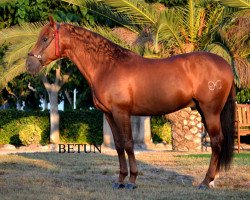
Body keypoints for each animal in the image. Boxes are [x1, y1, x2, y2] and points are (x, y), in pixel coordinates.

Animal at [26, 16, 235, 189]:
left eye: (45, 39)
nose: (29, 64)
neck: (108, 67)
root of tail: (225, 65)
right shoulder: (109, 114)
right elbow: (118, 145)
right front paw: (120, 180)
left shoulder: (122, 112)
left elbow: (128, 144)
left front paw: (132, 181)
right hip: (203, 110)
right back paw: (211, 180)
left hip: (210, 111)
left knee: (216, 141)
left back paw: (206, 182)